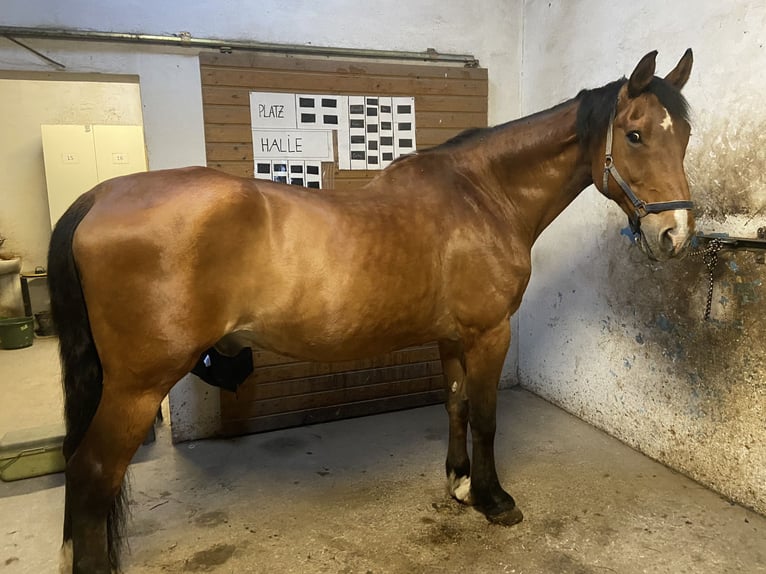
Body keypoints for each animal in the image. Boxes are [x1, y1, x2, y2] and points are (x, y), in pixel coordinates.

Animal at [49, 50, 696, 574]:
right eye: (634, 135)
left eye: (685, 135)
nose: (675, 234)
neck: (483, 196)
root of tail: (100, 196)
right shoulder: (489, 333)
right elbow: (487, 416)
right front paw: (494, 501)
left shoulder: (452, 337)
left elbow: (457, 406)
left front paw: (460, 484)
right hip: (137, 386)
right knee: (91, 476)